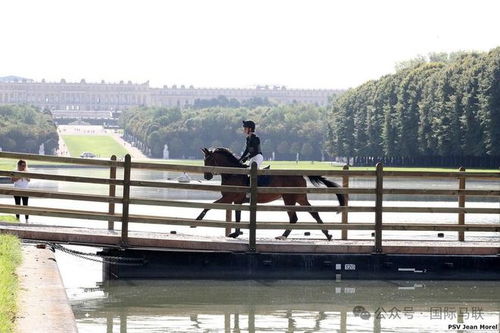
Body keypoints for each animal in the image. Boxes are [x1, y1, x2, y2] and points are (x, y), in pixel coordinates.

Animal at [193, 147, 346, 239]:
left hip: (289, 198)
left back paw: (283, 236)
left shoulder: (229, 197)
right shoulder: (236, 200)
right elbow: (237, 216)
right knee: (313, 212)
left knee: (294, 217)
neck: (233, 173)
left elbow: (209, 206)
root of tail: (299, 174)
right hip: (300, 197)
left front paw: (196, 221)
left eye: (209, 160)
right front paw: (235, 233)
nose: (206, 176)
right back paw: (327, 234)